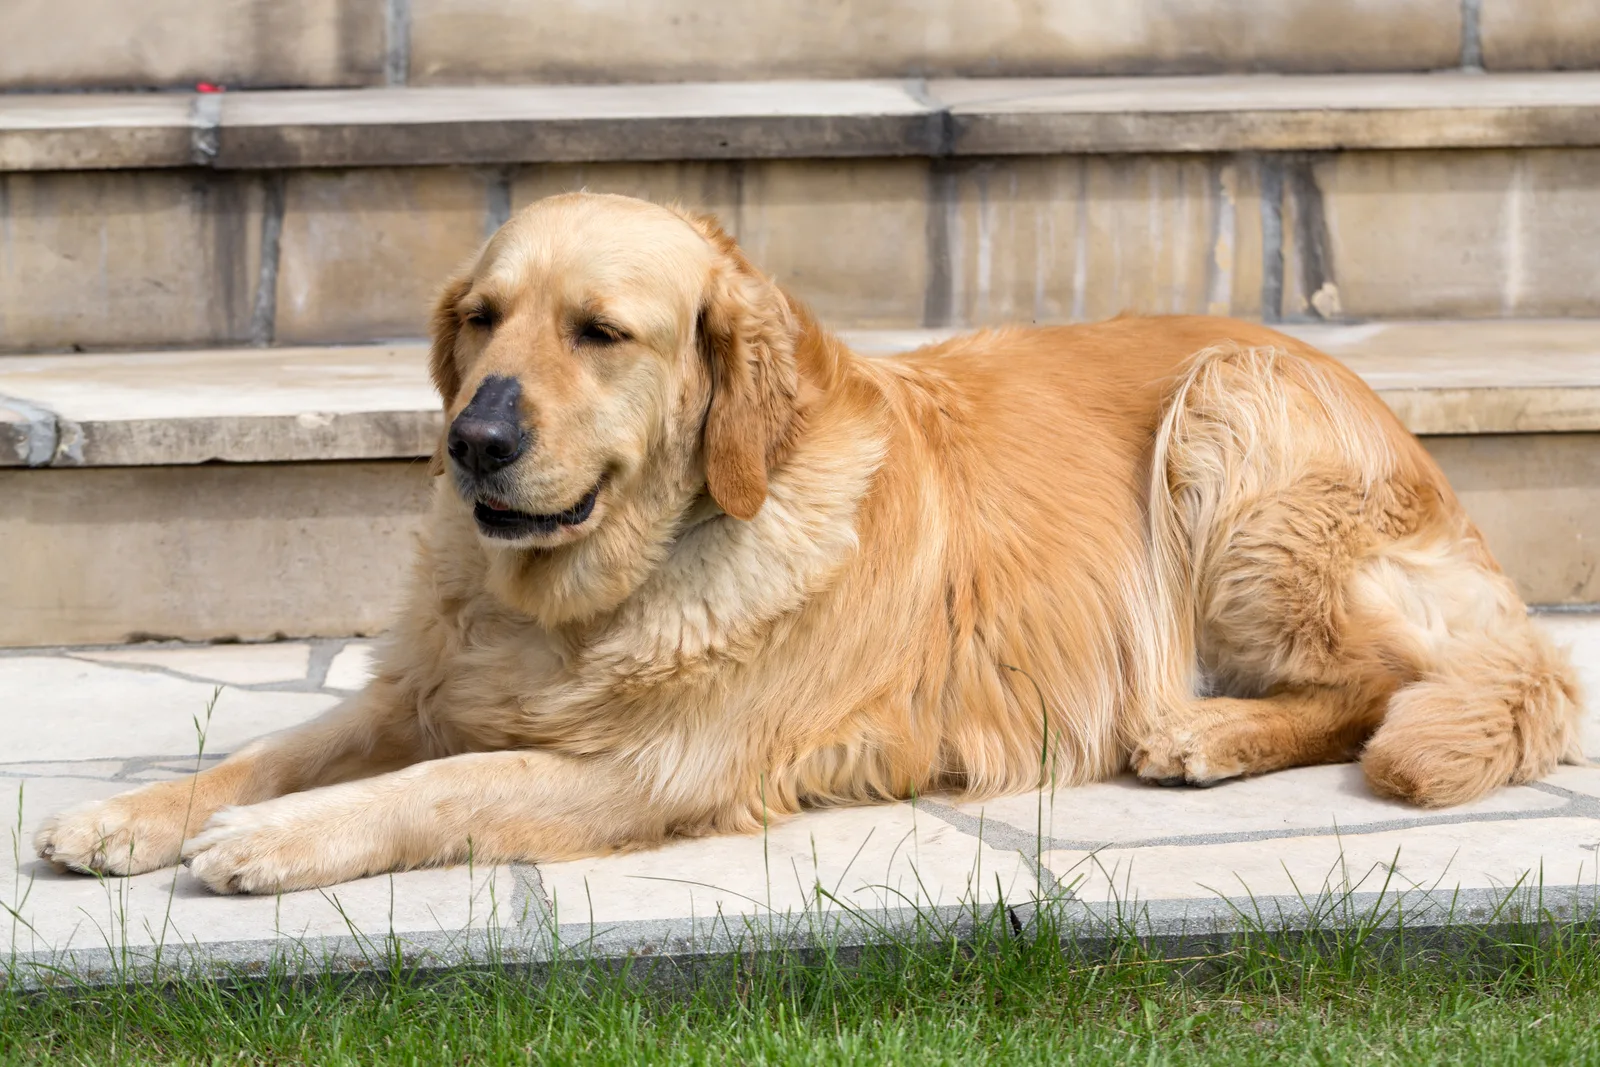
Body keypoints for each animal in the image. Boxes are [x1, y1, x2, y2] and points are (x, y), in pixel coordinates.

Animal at [31, 191, 1580, 895]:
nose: (472, 440)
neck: (593, 594)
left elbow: (441, 782)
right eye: (481, 317)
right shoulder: (421, 684)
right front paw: (130, 813)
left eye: (601, 332)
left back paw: (1205, 730)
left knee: (1390, 679)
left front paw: (272, 840)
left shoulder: (651, 770)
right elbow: (279, 741)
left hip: (1229, 424)